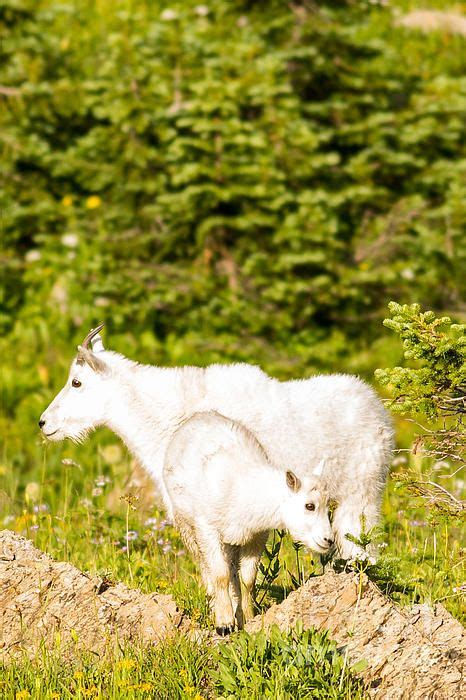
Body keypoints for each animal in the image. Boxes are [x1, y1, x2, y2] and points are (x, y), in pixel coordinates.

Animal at [162, 410, 334, 636]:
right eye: (310, 506)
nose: (328, 540)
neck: (245, 492)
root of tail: (200, 415)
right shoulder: (207, 528)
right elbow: (220, 574)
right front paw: (224, 623)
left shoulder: (257, 537)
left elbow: (248, 579)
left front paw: (249, 618)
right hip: (185, 523)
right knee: (205, 566)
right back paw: (215, 607)